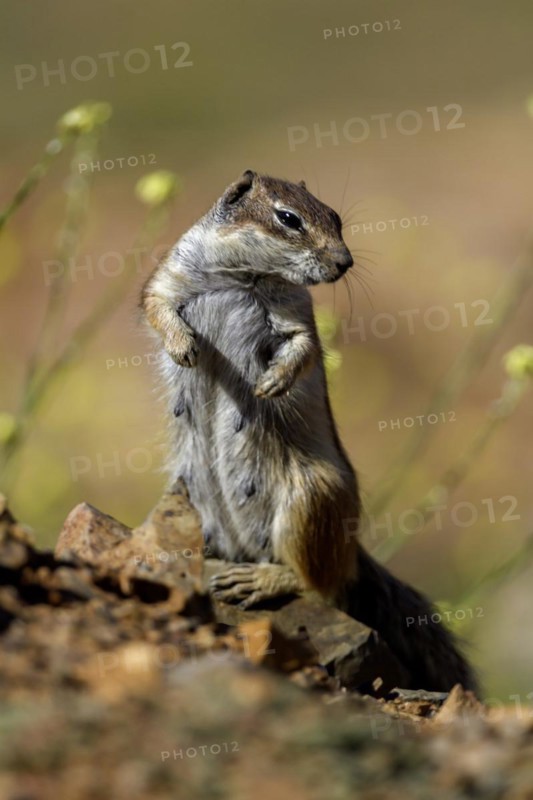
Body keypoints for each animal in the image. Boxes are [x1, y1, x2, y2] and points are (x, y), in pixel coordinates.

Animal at [140, 170, 478, 694]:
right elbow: (156, 304)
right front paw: (185, 348)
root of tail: (352, 550)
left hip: (311, 497)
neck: (245, 276)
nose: (345, 262)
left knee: (321, 582)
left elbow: (302, 346)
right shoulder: (175, 271)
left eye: (336, 218)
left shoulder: (295, 313)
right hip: (186, 486)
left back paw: (257, 580)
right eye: (288, 218)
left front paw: (271, 384)